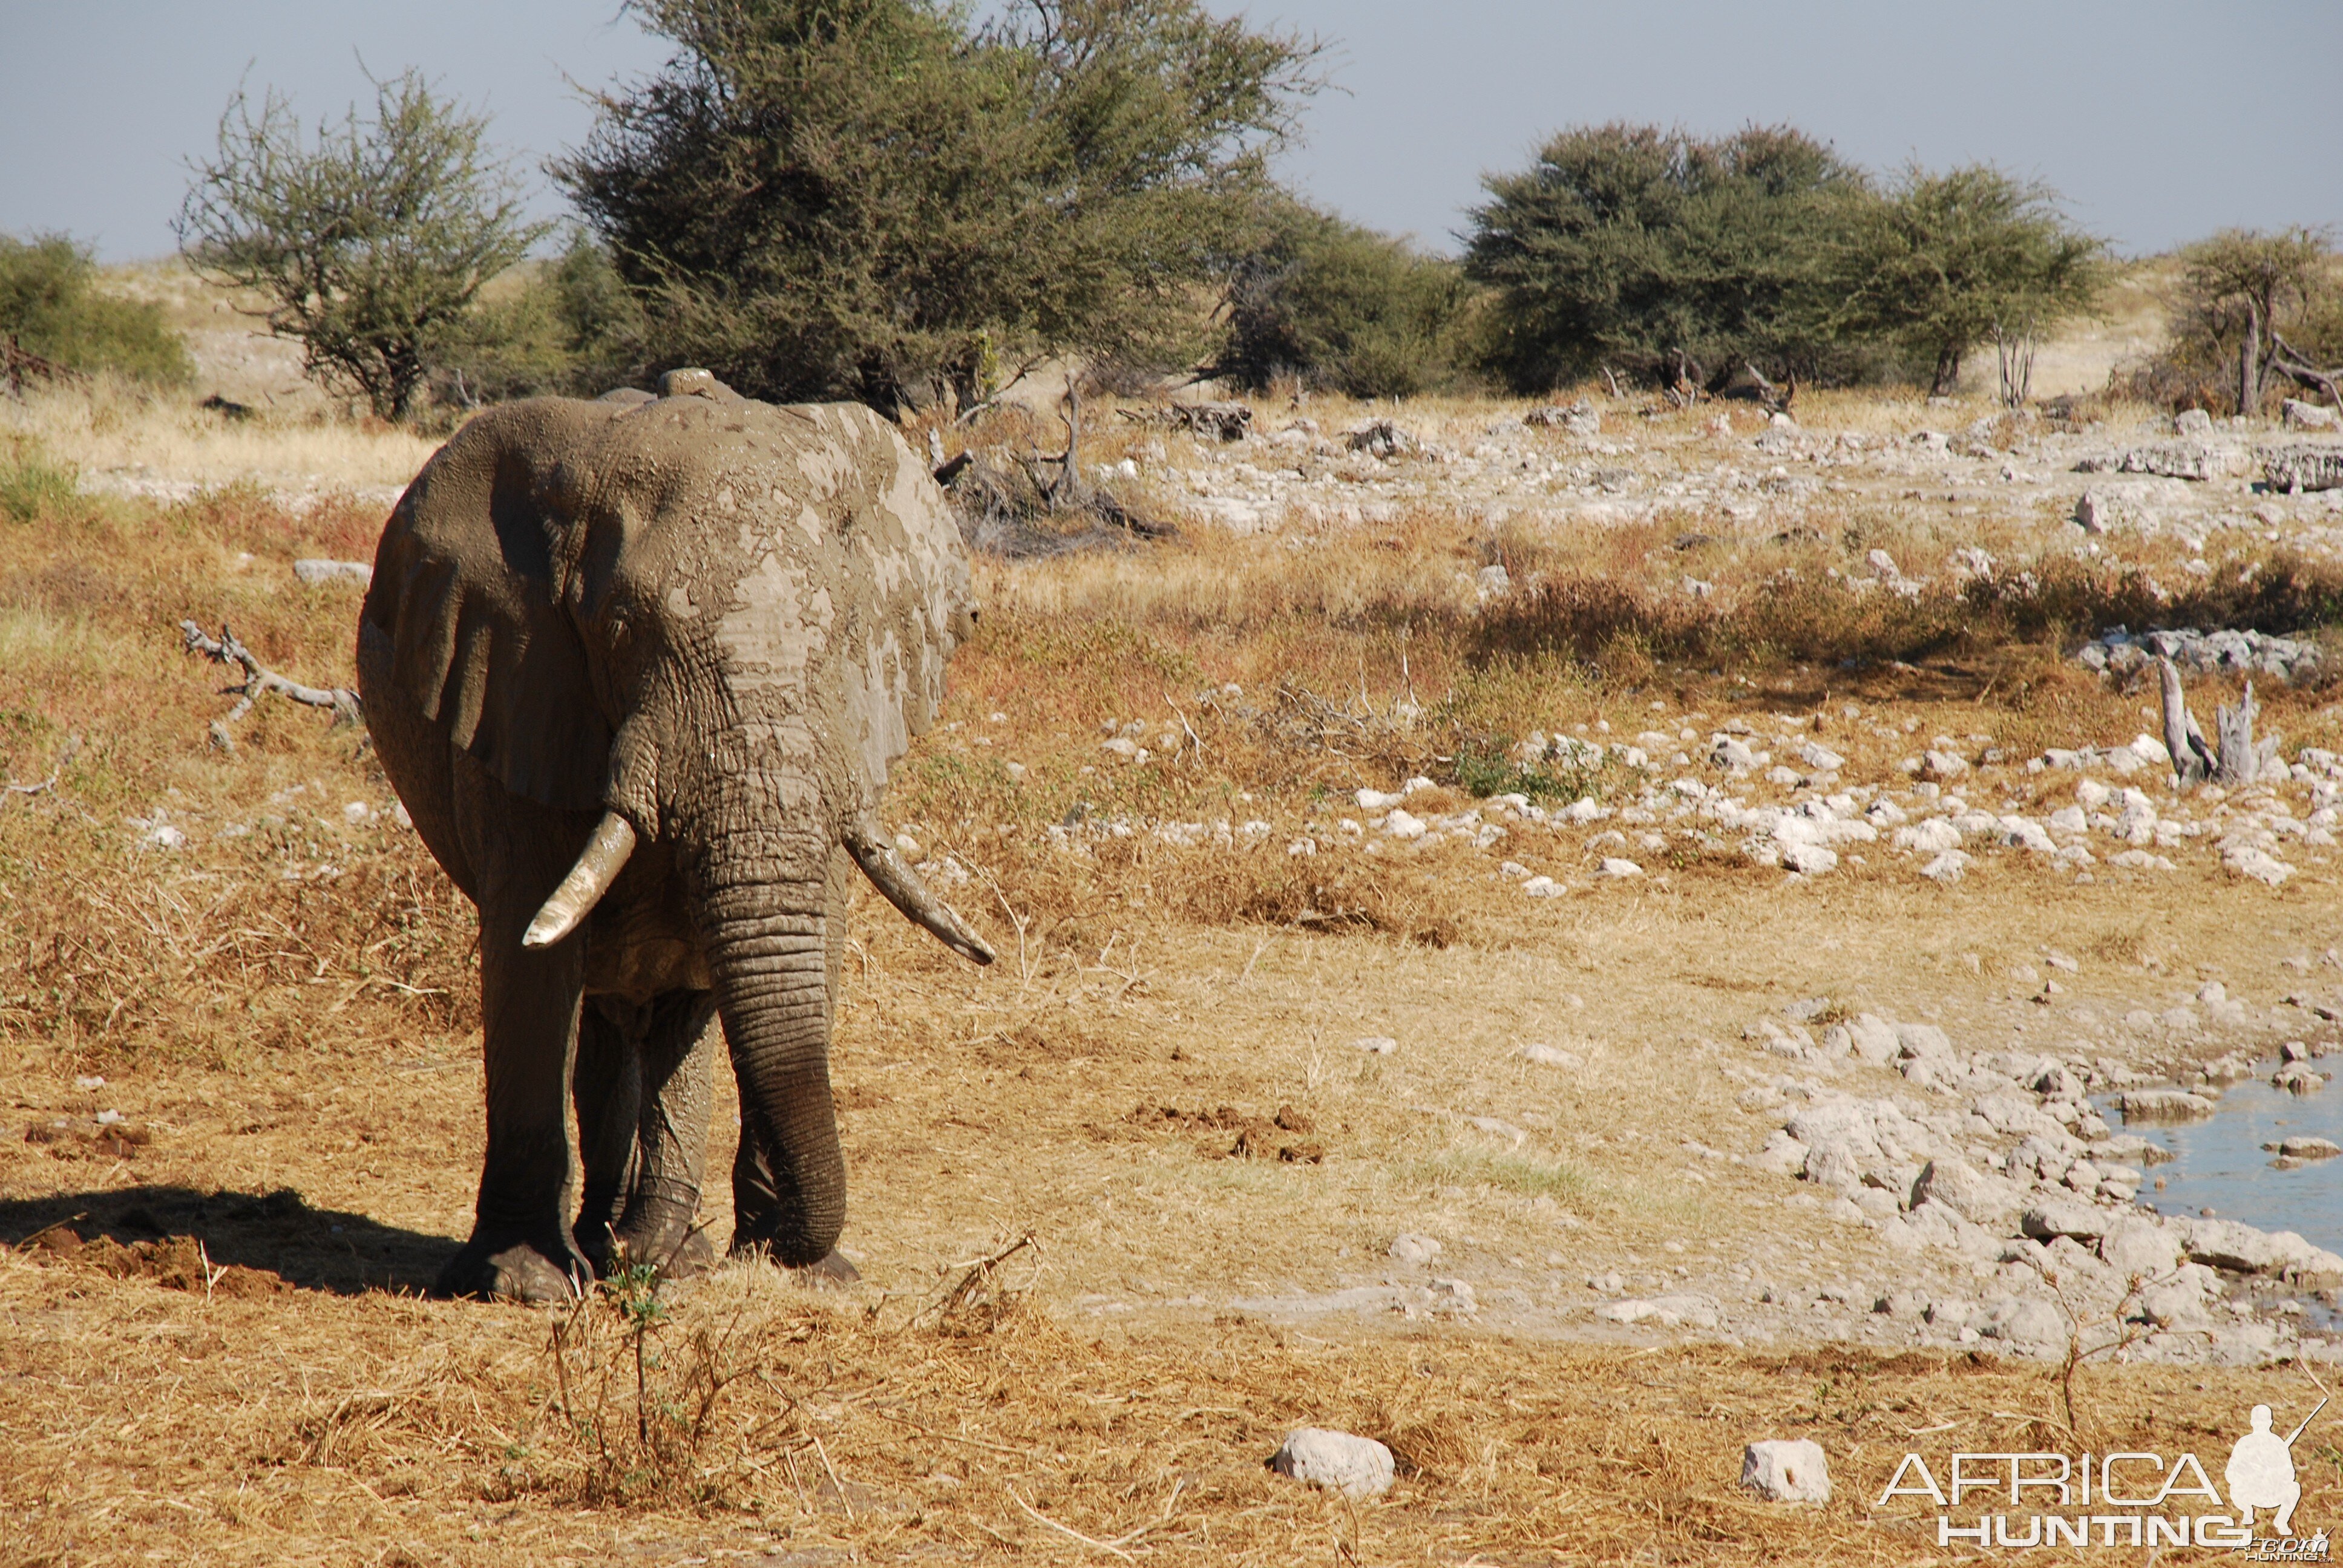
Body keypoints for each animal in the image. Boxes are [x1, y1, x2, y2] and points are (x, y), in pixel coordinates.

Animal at [353, 373, 988, 1303]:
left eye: (845, 634)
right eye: (619, 629)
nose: (782, 1246)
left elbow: (815, 932)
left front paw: (805, 1272)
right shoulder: (525, 692)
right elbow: (530, 949)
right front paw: (524, 1284)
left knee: (670, 1002)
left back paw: (660, 1249)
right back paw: (611, 1244)